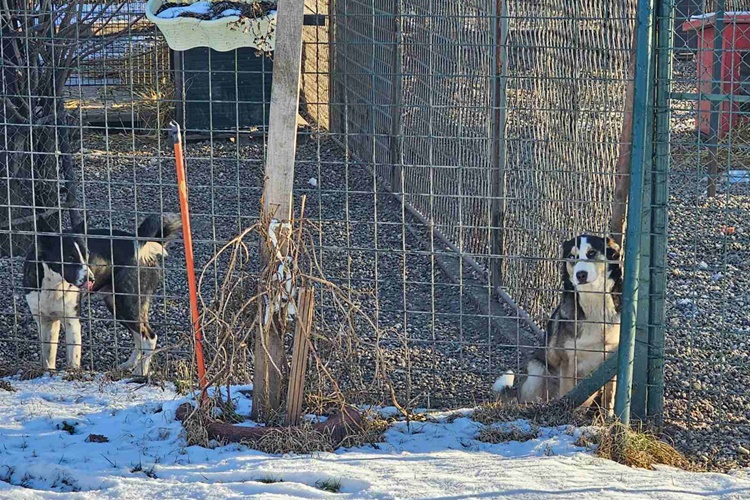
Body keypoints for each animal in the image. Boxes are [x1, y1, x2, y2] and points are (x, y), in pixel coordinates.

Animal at [22, 215, 181, 376]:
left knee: (149, 337)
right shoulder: (45, 321)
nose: (91, 279)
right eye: (69, 257)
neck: (53, 285)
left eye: (86, 255)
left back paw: (140, 372)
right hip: (117, 306)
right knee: (139, 337)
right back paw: (129, 364)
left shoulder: (72, 321)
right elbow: (48, 357)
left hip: (127, 303)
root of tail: (146, 244)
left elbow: (73, 358)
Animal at [494, 234, 624, 410]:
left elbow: (609, 399)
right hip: (537, 370)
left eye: (591, 253)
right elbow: (567, 391)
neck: (593, 303)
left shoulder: (610, 361)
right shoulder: (568, 362)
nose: (580, 274)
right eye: (571, 257)